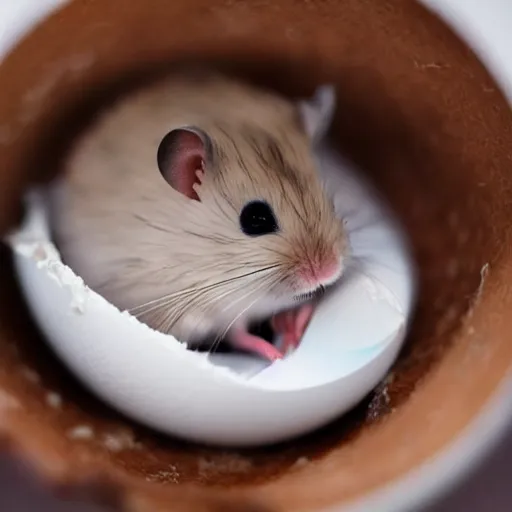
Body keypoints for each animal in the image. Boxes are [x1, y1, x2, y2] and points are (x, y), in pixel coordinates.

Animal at [50, 71, 348, 360]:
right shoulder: (195, 307)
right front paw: (277, 355)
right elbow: (239, 334)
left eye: (328, 200)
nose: (329, 272)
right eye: (255, 219)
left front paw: (295, 325)